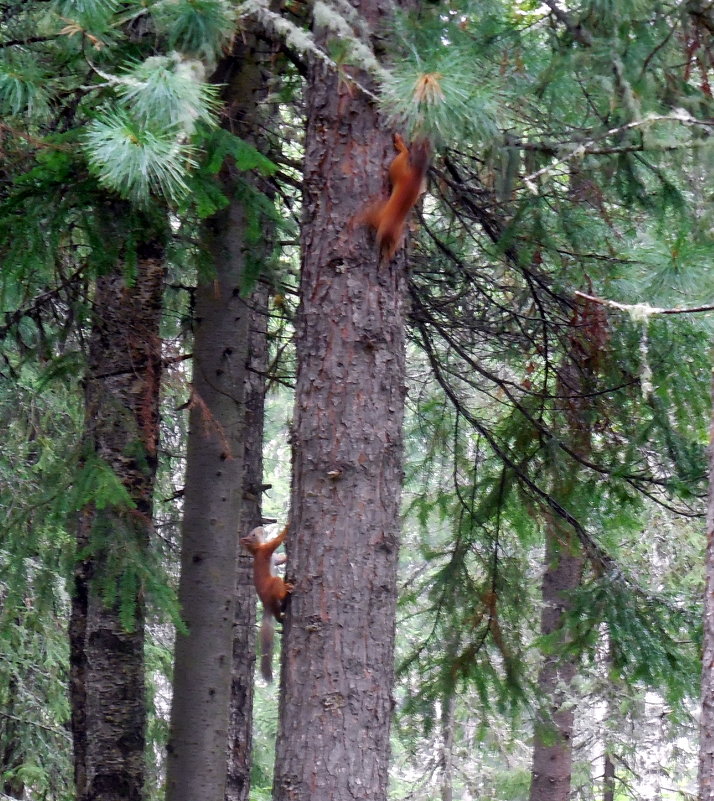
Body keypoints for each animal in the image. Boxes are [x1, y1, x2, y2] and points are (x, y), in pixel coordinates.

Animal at [239, 524, 292, 680]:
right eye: (253, 534)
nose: (260, 527)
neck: (257, 550)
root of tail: (266, 603)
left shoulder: (273, 557)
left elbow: (280, 560)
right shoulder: (266, 550)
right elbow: (275, 542)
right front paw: (287, 527)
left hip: (274, 604)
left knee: (277, 615)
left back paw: (282, 617)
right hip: (274, 584)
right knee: (279, 589)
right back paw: (287, 589)